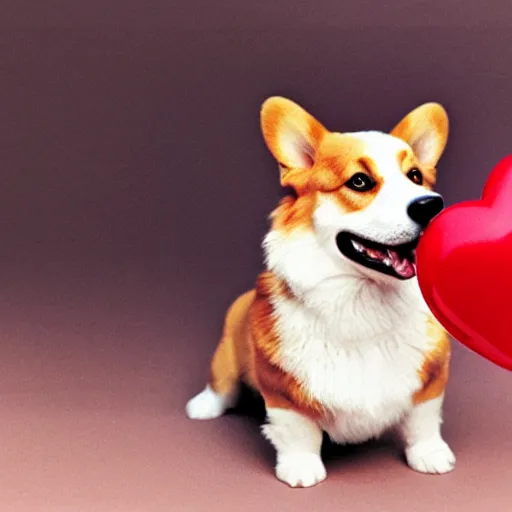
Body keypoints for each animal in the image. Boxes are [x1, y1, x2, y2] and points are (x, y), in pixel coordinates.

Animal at [185, 97, 456, 488]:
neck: (363, 301)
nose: (431, 204)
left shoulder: (431, 381)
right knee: (220, 384)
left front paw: (431, 455)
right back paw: (203, 407)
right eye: (360, 181)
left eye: (416, 177)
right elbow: (298, 432)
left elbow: (423, 421)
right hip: (226, 355)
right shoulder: (282, 392)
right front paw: (300, 468)